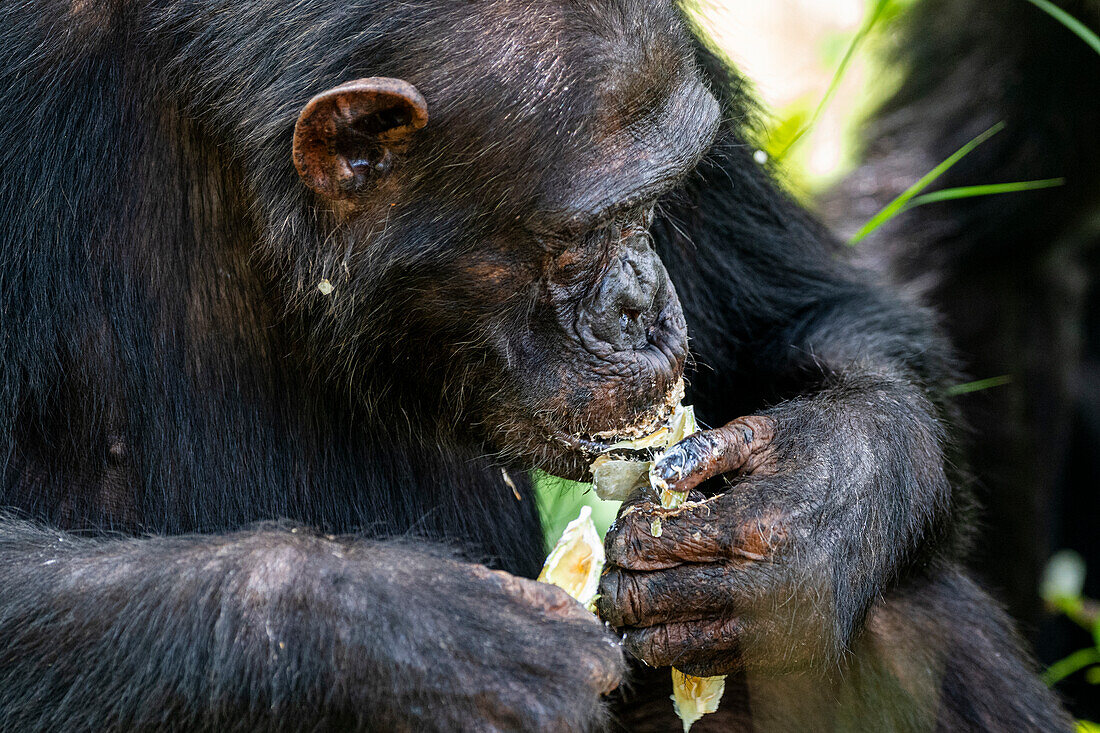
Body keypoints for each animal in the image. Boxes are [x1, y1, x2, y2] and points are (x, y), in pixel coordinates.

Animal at [0, 0, 1073, 726]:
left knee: (907, 611)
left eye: (661, 201)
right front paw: (422, 644)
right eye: (590, 230)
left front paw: (805, 513)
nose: (645, 302)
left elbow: (807, 311)